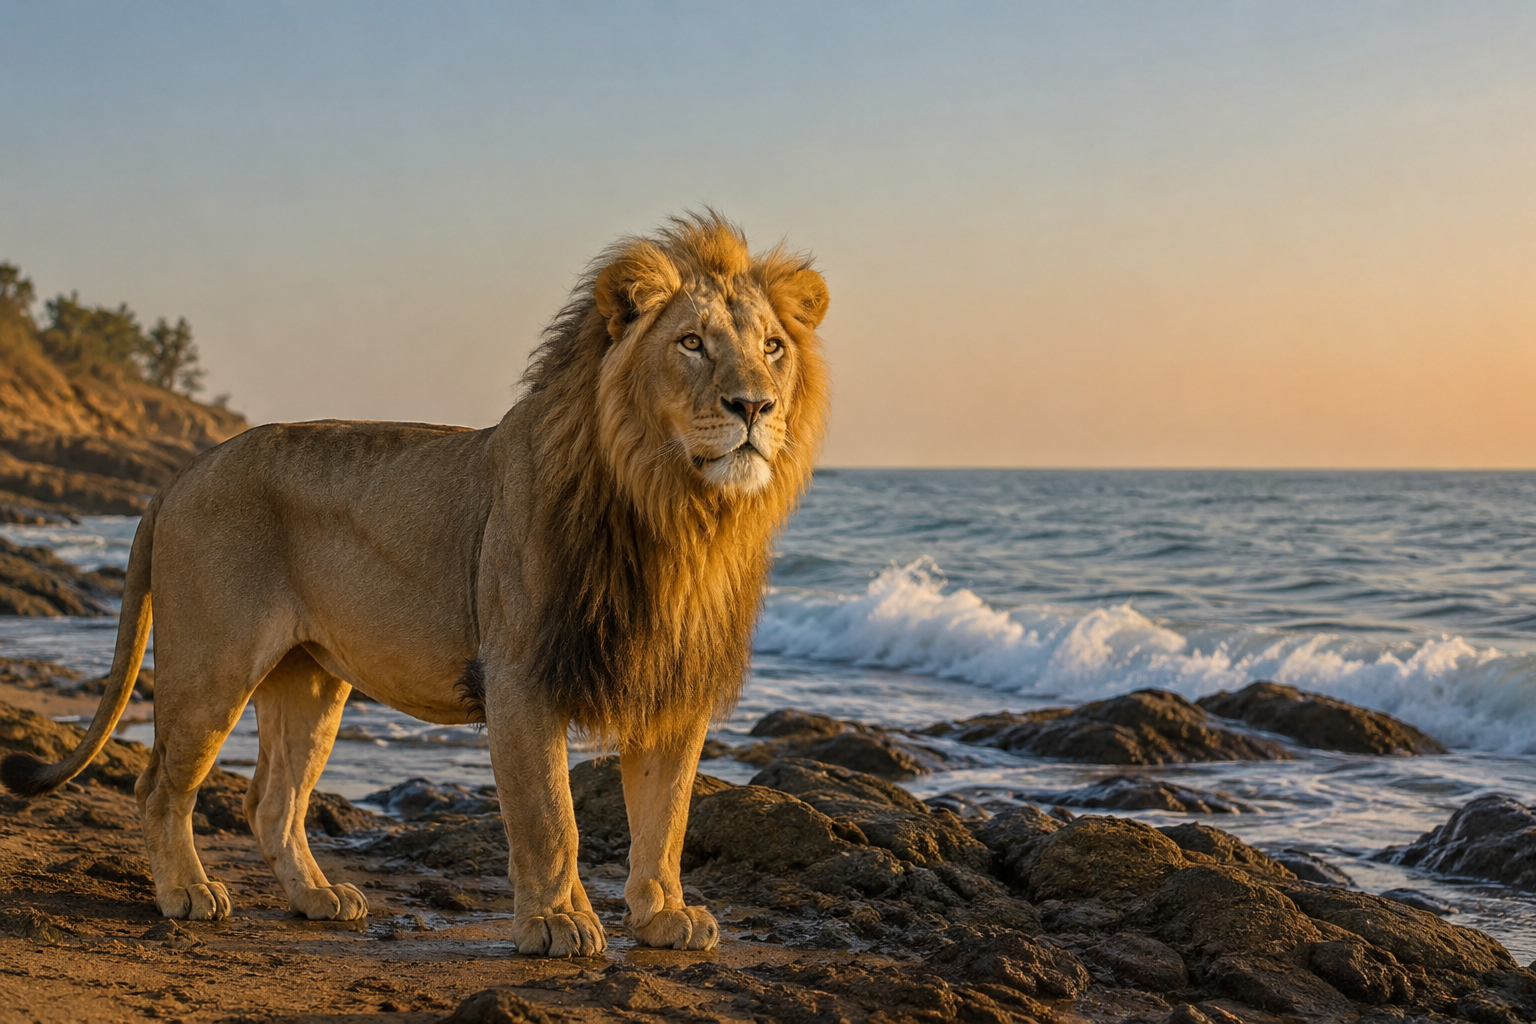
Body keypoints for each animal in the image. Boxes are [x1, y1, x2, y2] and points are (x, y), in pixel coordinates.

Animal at [1, 212, 830, 957]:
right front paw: (559, 923)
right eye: (692, 343)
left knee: (271, 802)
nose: (754, 406)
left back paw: (316, 898)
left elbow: (666, 820)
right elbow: (551, 818)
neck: (678, 513)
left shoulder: (672, 685)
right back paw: (186, 893)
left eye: (772, 348)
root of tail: (182, 472)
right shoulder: (519, 676)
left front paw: (663, 918)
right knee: (160, 787)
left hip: (309, 681)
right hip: (211, 663)